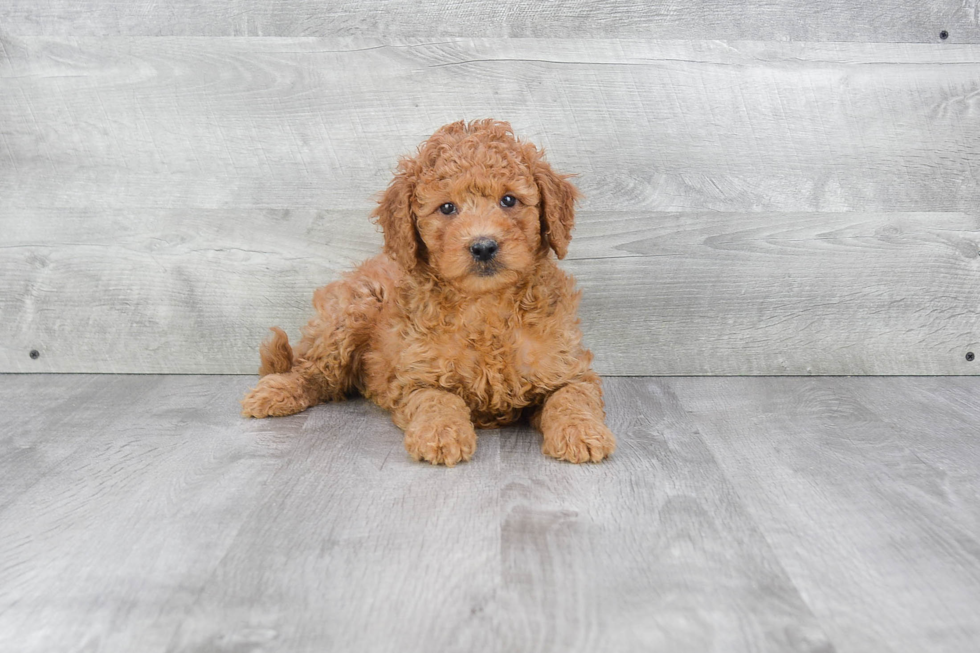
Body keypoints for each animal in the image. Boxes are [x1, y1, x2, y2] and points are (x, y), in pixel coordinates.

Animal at [239, 119, 612, 466]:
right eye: (447, 208)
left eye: (509, 200)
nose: (483, 246)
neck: (486, 306)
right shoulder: (417, 377)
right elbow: (437, 400)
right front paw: (440, 434)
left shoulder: (569, 370)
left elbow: (572, 397)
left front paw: (581, 432)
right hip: (349, 313)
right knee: (313, 371)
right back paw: (276, 392)